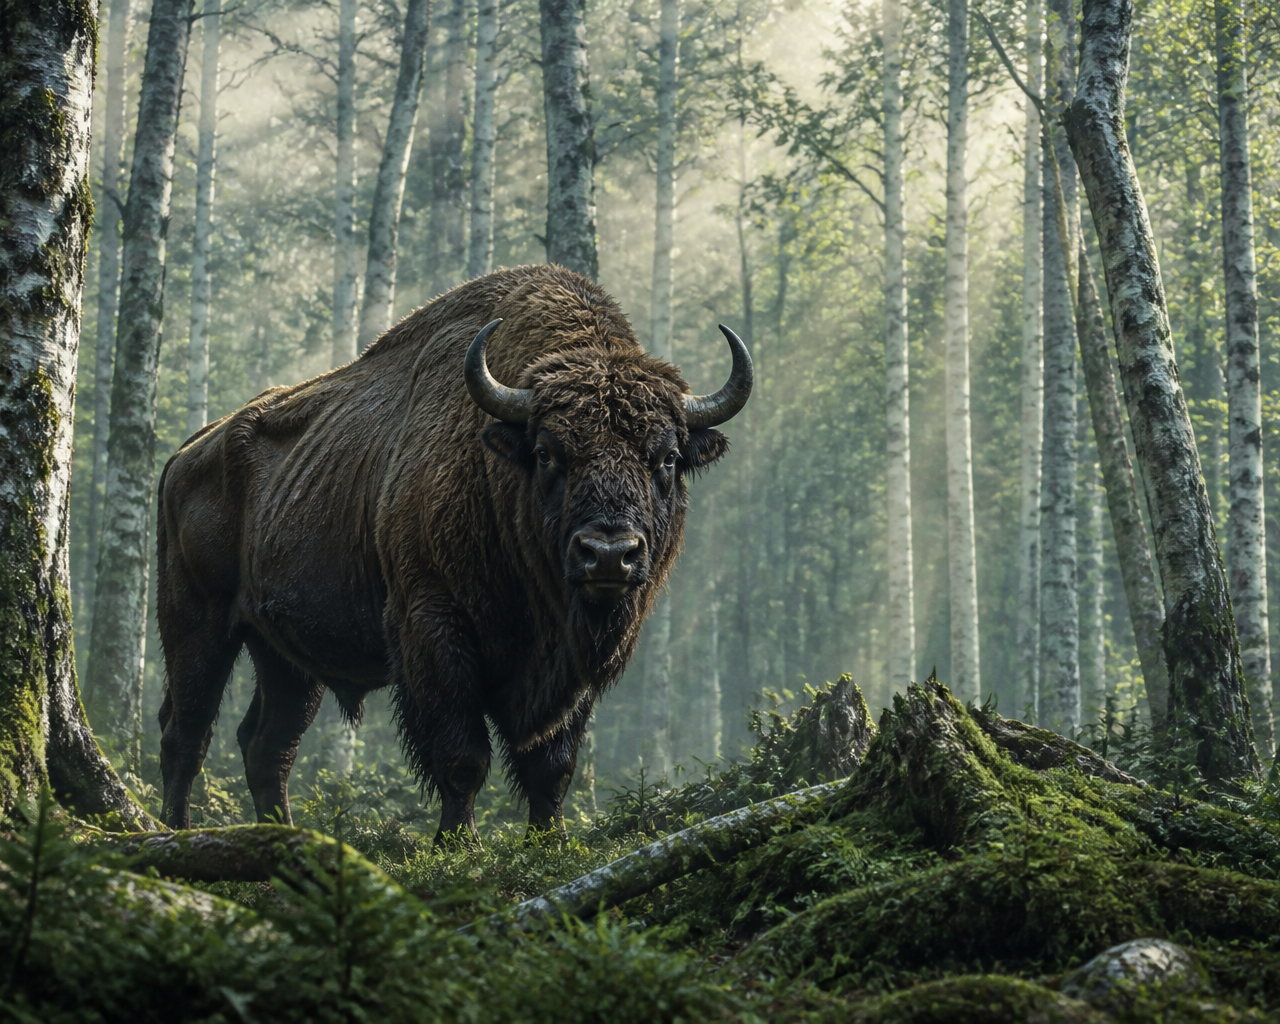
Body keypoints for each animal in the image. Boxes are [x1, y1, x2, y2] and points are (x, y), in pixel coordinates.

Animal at [156, 264, 752, 839]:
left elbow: (552, 764)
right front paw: (457, 843)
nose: (608, 554)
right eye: (546, 452)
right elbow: (462, 756)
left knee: (267, 745)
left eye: (668, 457)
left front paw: (550, 842)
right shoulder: (434, 628)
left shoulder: (570, 663)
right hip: (198, 624)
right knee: (185, 730)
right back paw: (174, 831)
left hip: (284, 655)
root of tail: (186, 453)